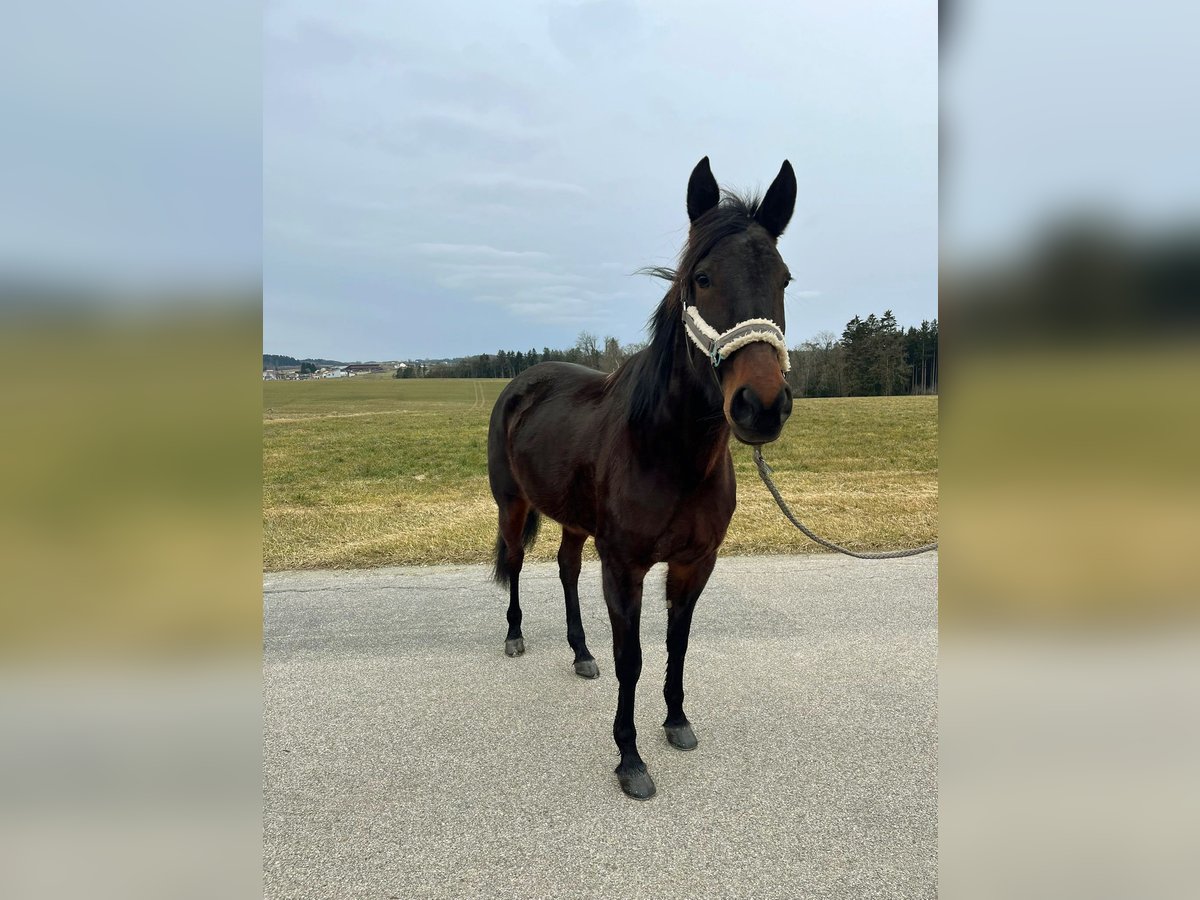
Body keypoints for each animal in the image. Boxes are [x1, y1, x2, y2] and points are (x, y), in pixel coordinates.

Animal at [487, 157, 796, 801]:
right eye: (701, 278)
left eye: (784, 279)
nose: (761, 406)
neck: (667, 452)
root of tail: (522, 383)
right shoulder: (624, 565)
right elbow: (630, 657)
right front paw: (629, 758)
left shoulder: (694, 562)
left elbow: (677, 643)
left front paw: (676, 719)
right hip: (512, 505)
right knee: (517, 565)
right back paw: (515, 635)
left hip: (575, 521)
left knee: (566, 568)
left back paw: (581, 652)